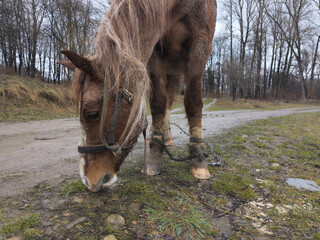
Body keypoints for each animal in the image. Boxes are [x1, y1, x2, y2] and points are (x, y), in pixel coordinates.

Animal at [59, 0, 218, 191]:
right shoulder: (155, 53)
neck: (178, 6)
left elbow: (193, 102)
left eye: (92, 114)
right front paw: (154, 151)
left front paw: (198, 157)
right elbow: (158, 103)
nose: (87, 179)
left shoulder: (199, 48)